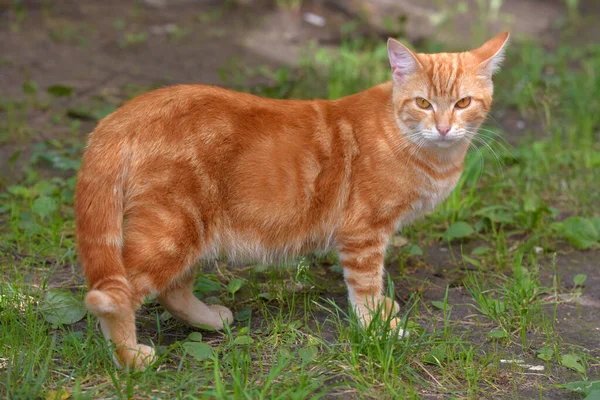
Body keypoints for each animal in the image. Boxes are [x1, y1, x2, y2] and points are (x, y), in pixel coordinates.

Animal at [74, 31, 506, 368]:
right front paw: (375, 326)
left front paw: (382, 311)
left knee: (173, 290)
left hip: (190, 233)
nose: (444, 128)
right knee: (114, 297)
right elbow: (365, 284)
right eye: (423, 103)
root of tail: (122, 115)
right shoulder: (364, 234)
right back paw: (130, 358)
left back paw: (210, 320)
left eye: (463, 103)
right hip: (171, 231)